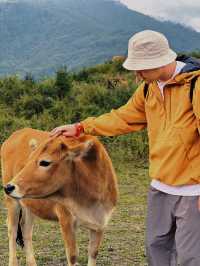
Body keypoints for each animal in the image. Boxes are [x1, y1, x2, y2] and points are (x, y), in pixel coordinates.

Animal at [1, 128, 118, 264]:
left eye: (45, 162)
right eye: (29, 160)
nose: (9, 187)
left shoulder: (100, 223)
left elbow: (93, 253)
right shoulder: (66, 219)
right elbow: (72, 255)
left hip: (29, 204)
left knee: (26, 229)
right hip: (12, 202)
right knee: (12, 230)